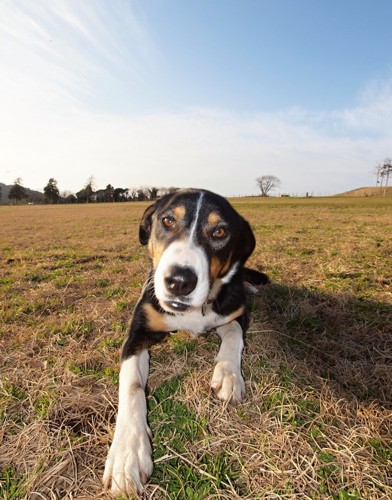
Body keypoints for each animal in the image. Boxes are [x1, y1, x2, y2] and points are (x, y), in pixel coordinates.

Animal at [103, 188, 270, 496]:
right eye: (167, 221)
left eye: (219, 231)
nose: (179, 281)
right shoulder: (138, 331)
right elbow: (131, 384)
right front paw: (127, 454)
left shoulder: (236, 312)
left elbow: (234, 336)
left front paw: (228, 375)